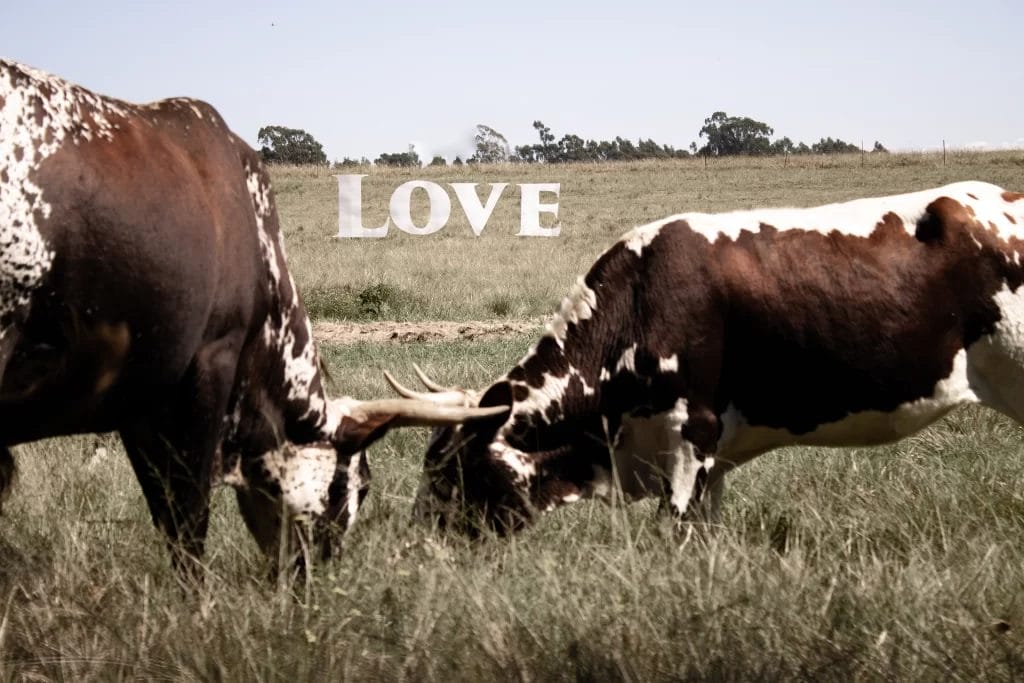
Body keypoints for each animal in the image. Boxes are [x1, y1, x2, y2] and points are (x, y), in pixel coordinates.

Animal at [0, 58, 500, 580]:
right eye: (358, 485)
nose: (318, 573)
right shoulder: (209, 366)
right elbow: (188, 520)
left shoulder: (141, 403)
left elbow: (165, 511)